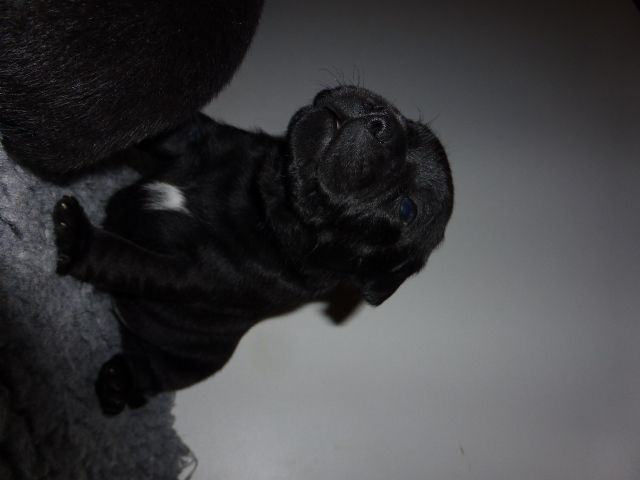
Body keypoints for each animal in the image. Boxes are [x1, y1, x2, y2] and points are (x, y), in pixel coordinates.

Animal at [52, 86, 454, 415]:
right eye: (410, 123)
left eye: (407, 209)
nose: (382, 121)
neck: (264, 196)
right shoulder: (198, 138)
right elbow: (164, 128)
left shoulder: (192, 275)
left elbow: (128, 260)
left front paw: (80, 241)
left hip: (180, 366)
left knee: (148, 379)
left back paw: (119, 385)